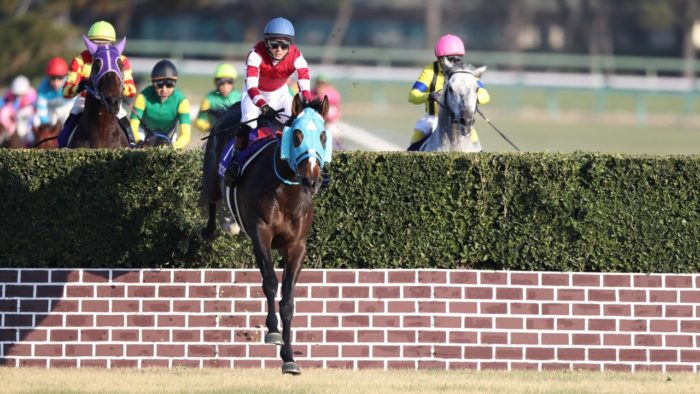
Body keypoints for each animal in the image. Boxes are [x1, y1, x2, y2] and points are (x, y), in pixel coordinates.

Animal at [202, 94, 334, 374]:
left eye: (323, 135)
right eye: (297, 135)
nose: (312, 180)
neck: (287, 192)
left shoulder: (296, 246)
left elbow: (288, 300)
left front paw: (289, 358)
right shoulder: (261, 233)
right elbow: (270, 282)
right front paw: (272, 330)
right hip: (212, 178)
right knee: (212, 198)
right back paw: (214, 229)